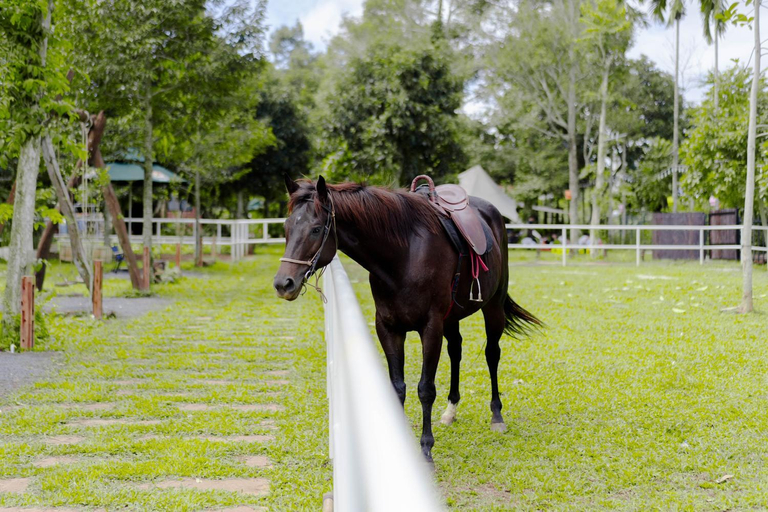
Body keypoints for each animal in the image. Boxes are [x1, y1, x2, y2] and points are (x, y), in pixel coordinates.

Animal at [274, 175, 540, 462]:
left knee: (492, 354)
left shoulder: (430, 328)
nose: (283, 283)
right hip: (452, 317)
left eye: (315, 229)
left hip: (492, 307)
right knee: (456, 351)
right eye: (287, 227)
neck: (404, 256)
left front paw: (425, 449)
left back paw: (497, 415)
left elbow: (425, 389)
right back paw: (451, 410)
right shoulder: (389, 329)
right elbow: (397, 387)